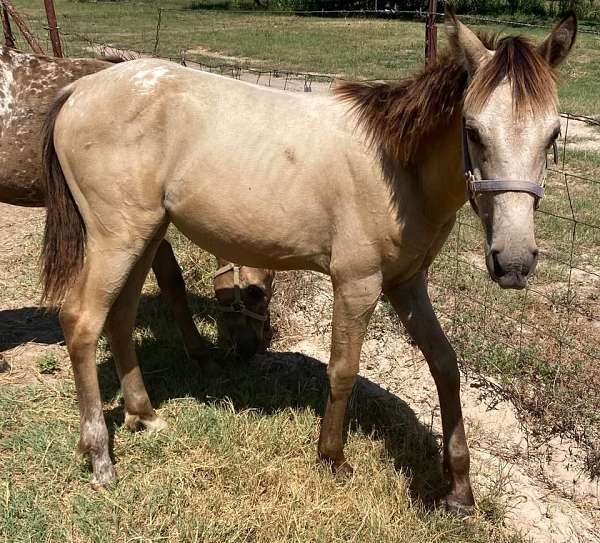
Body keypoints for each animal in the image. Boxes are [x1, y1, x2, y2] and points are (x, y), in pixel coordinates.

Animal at [38, 8, 576, 510]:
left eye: (552, 136)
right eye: (473, 130)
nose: (513, 262)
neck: (397, 167)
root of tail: (79, 90)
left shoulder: (407, 284)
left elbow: (445, 365)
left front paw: (460, 490)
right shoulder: (357, 283)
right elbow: (343, 369)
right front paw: (332, 457)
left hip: (145, 236)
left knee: (120, 317)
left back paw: (145, 415)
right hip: (117, 239)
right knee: (82, 322)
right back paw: (100, 458)